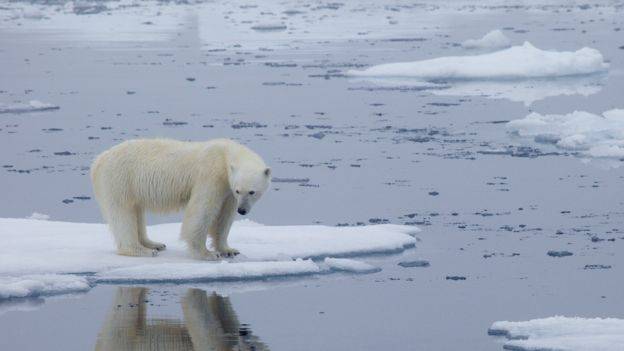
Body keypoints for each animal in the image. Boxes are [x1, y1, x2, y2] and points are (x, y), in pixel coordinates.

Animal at [92, 139, 270, 260]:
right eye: (240, 190)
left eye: (252, 192)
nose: (242, 210)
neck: (224, 154)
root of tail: (99, 160)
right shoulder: (211, 177)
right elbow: (201, 211)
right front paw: (207, 254)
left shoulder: (228, 190)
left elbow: (224, 217)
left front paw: (229, 250)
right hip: (119, 179)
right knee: (122, 213)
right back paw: (142, 250)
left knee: (137, 212)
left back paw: (154, 243)